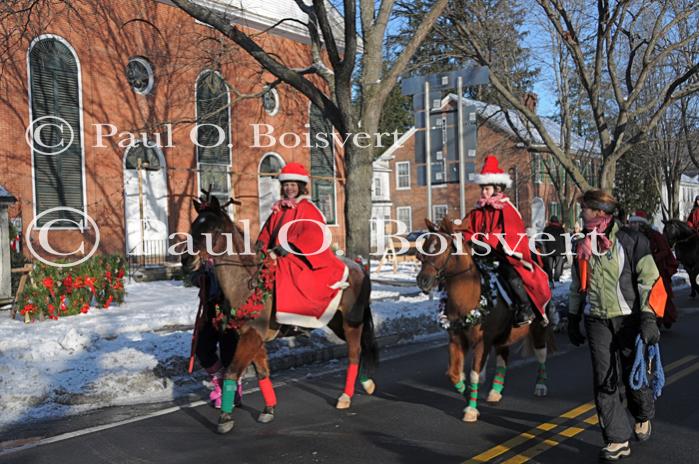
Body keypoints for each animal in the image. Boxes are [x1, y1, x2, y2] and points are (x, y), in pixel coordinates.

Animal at [180, 194, 378, 434]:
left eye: (214, 230)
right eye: (193, 226)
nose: (186, 261)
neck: (248, 282)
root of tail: (358, 267)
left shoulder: (251, 336)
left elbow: (232, 372)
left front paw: (225, 418)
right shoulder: (252, 337)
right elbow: (262, 373)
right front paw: (269, 409)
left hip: (352, 321)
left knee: (354, 353)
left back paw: (346, 396)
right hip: (337, 322)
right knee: (360, 349)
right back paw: (366, 383)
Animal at [416, 216, 552, 422]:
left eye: (442, 249)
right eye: (425, 247)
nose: (422, 280)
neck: (468, 297)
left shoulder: (482, 341)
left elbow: (473, 373)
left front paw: (471, 410)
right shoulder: (456, 339)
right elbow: (453, 374)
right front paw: (467, 396)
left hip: (538, 328)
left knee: (541, 354)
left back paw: (541, 386)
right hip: (504, 336)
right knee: (503, 358)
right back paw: (495, 392)